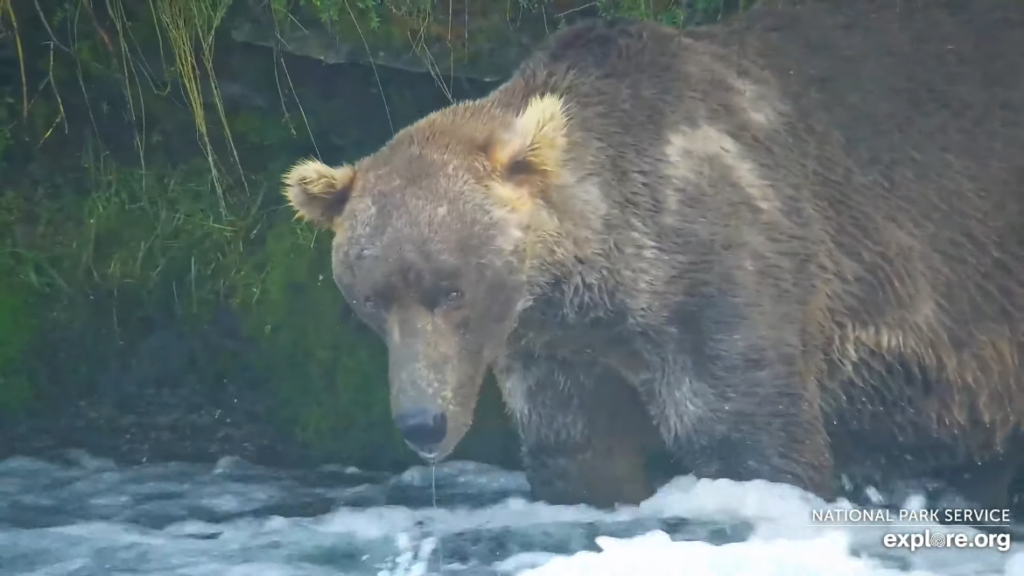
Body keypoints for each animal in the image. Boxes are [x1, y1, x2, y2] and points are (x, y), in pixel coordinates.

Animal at [280, 0, 1024, 508]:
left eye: (451, 289)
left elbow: (749, 438)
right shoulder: (556, 348)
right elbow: (578, 451)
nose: (423, 423)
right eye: (371, 300)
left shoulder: (732, 273)